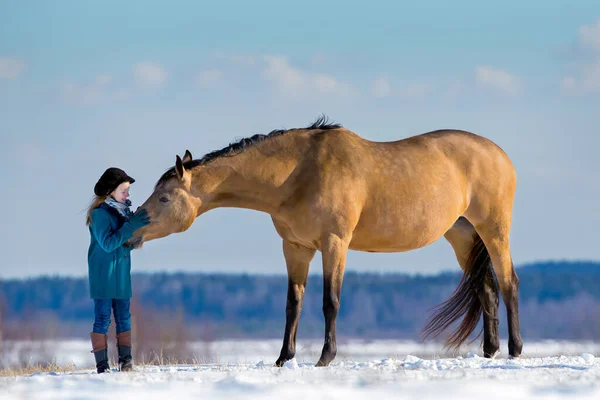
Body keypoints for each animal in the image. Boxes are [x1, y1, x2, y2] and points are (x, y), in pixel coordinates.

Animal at [126, 117, 520, 368]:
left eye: (164, 198)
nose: (131, 232)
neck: (298, 172)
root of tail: (500, 154)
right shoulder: (295, 247)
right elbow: (293, 304)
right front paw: (283, 357)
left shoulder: (334, 243)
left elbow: (330, 301)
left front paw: (325, 357)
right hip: (462, 234)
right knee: (486, 289)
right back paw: (490, 351)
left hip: (494, 230)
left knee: (508, 284)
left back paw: (514, 350)